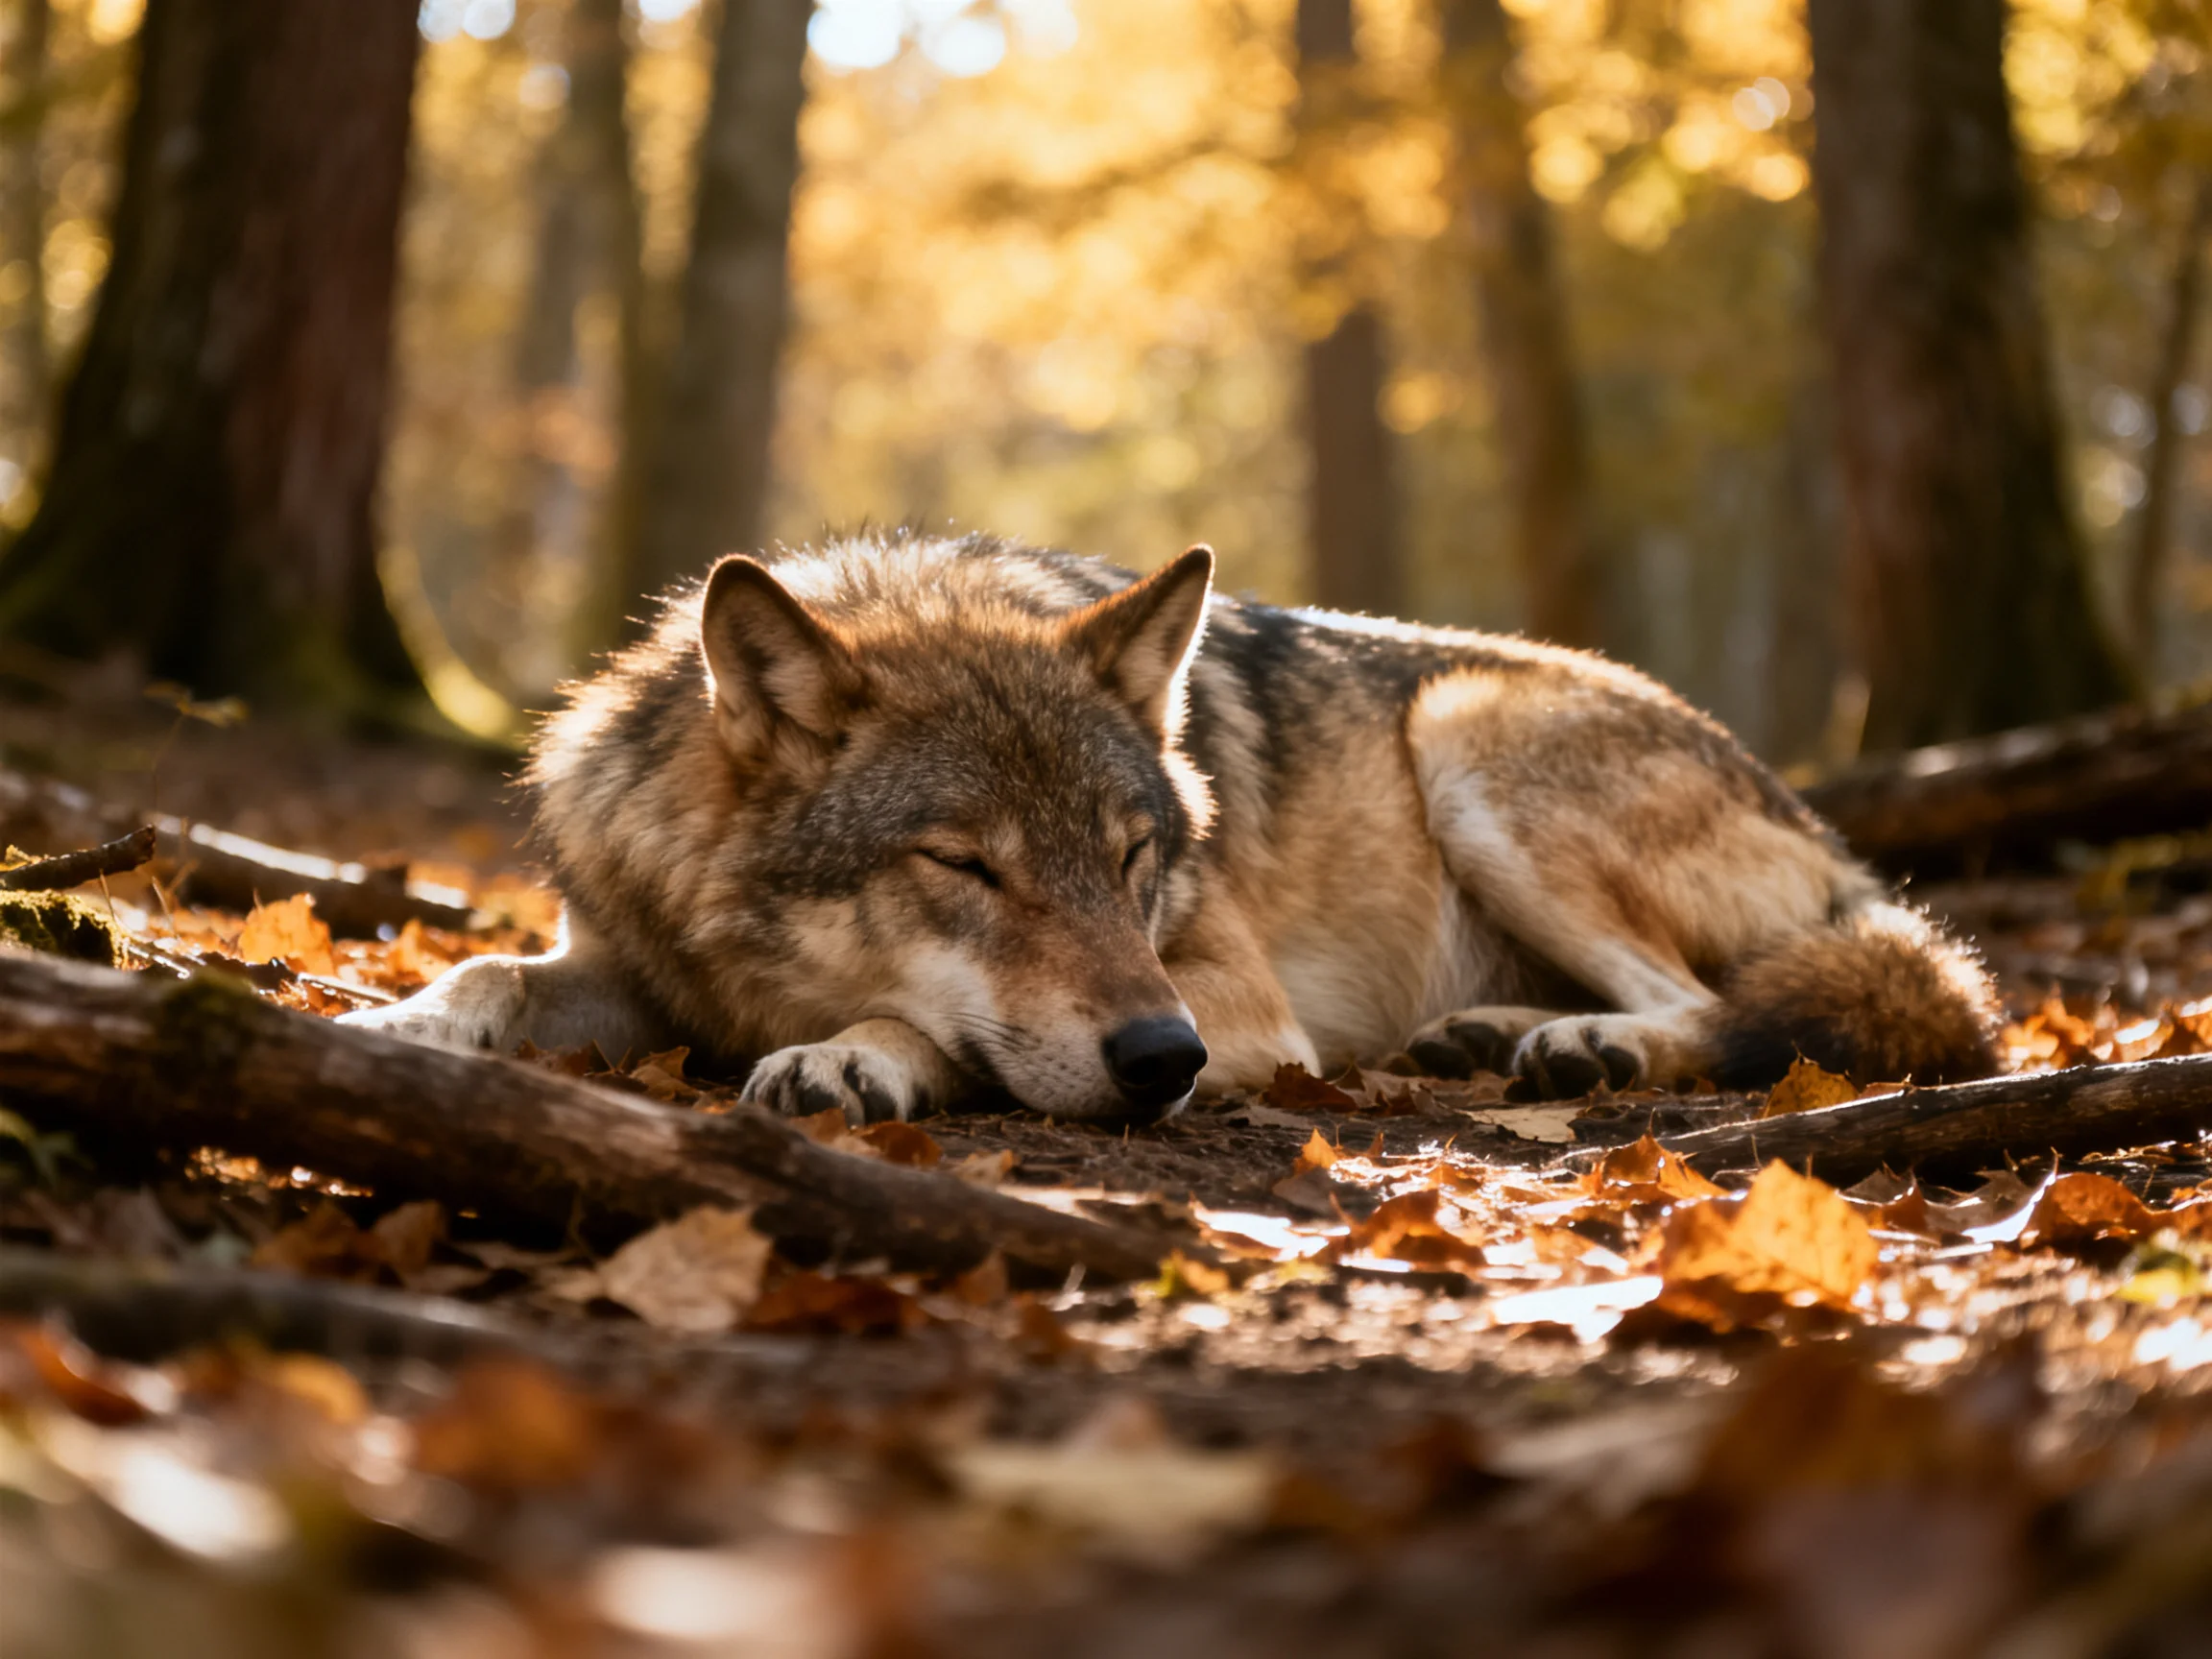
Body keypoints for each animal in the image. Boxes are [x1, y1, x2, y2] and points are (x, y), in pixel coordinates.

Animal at [344, 531, 1997, 1123]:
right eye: (966, 866)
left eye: (1135, 865)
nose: (1164, 1061)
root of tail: (1835, 845)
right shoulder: (620, 957)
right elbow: (487, 975)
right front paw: (388, 1028)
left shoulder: (1242, 1004)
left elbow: (930, 1028)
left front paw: (855, 1056)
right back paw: (1493, 1037)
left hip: (1469, 740)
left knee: (1720, 1003)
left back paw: (1592, 1047)